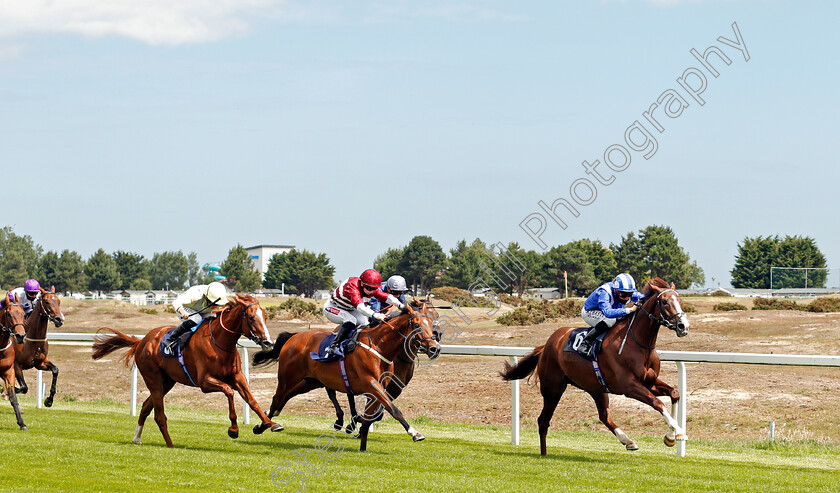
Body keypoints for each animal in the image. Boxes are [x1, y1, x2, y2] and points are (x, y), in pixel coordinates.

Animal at [90, 292, 282, 446]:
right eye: (251, 317)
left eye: (265, 316)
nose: (268, 342)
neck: (219, 342)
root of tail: (141, 341)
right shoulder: (205, 382)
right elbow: (229, 391)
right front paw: (233, 430)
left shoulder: (237, 377)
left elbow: (252, 400)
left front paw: (269, 424)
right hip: (154, 379)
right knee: (159, 415)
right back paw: (170, 445)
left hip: (167, 382)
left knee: (145, 407)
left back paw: (137, 438)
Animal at [253, 300, 442, 450]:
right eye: (417, 325)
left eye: (431, 322)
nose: (435, 348)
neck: (379, 346)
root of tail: (295, 336)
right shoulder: (371, 383)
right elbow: (393, 410)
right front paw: (415, 433)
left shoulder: (380, 388)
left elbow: (370, 418)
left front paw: (362, 446)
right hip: (287, 377)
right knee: (278, 397)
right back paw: (266, 426)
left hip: (310, 381)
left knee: (284, 398)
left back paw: (267, 421)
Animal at [498, 276, 688, 454]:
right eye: (665, 302)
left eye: (680, 301)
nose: (683, 326)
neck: (637, 343)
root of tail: (547, 345)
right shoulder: (629, 386)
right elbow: (658, 403)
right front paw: (679, 432)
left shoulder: (649, 382)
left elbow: (674, 393)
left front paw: (671, 436)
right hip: (553, 388)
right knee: (543, 421)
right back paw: (544, 455)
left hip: (596, 387)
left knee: (604, 416)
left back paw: (628, 441)